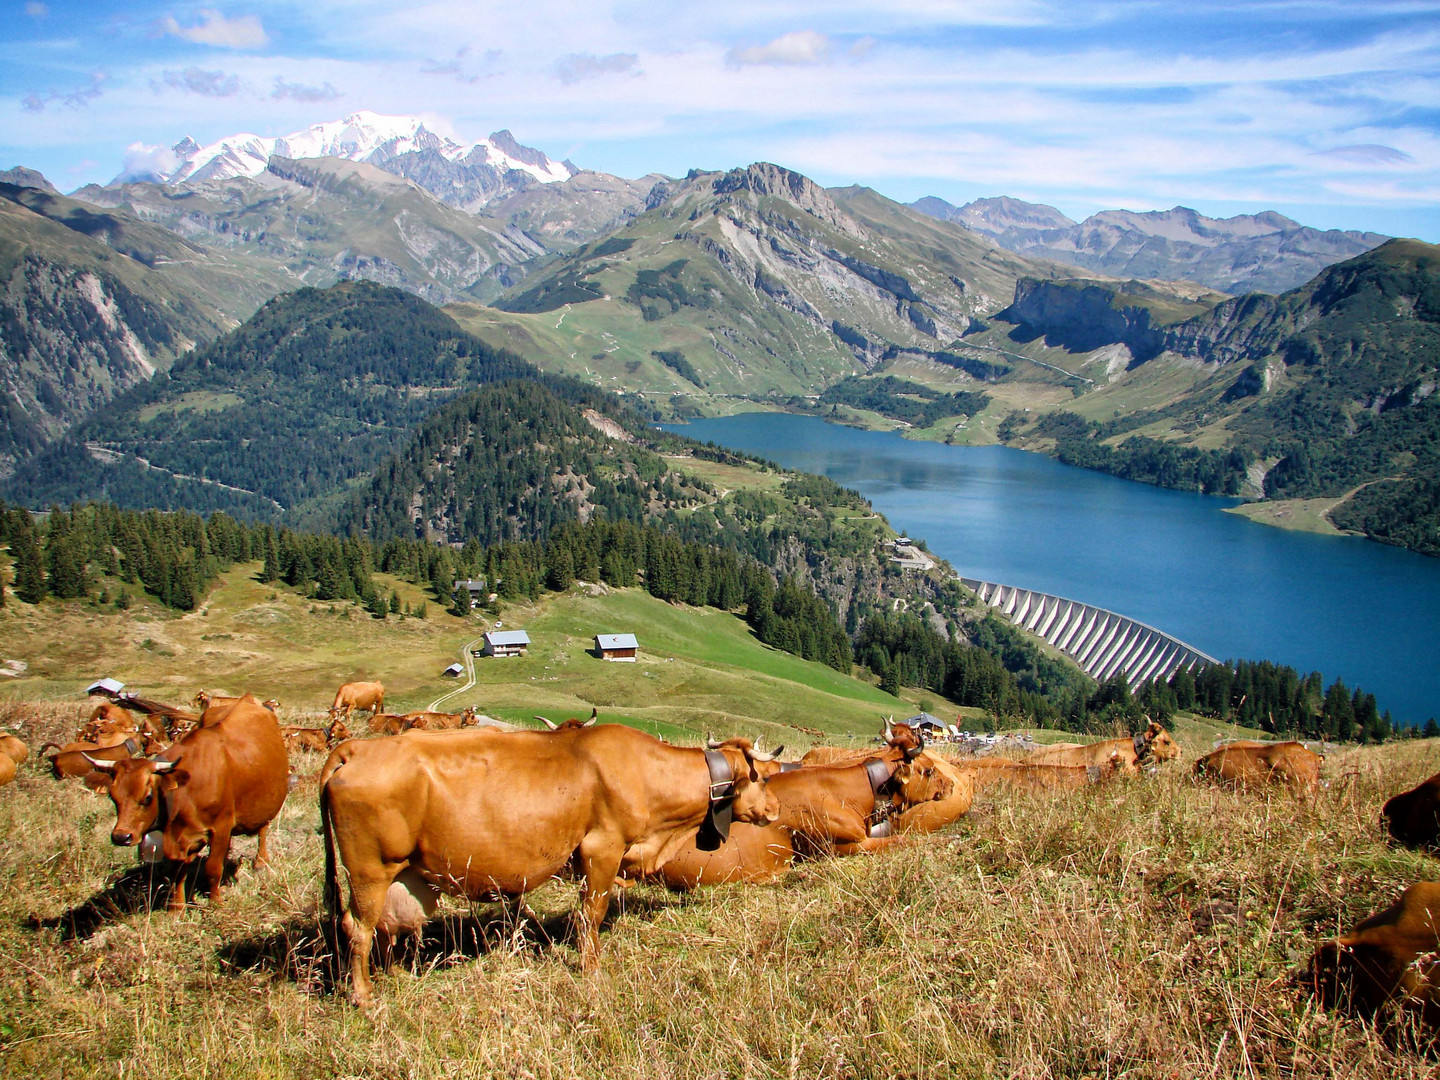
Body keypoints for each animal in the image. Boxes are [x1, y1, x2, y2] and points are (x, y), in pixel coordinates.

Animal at [86, 694, 289, 915]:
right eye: (113, 797)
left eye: (148, 797)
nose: (121, 837)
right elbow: (177, 872)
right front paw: (177, 907)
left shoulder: (221, 826)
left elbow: (212, 868)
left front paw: (215, 903)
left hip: (266, 802)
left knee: (263, 829)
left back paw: (261, 862)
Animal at [322, 728, 783, 1008]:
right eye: (760, 779)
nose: (776, 808)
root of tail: (357, 748)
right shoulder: (602, 848)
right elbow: (591, 913)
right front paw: (592, 969)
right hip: (369, 868)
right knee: (358, 927)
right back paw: (363, 995)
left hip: (393, 872)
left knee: (384, 926)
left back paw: (393, 974)